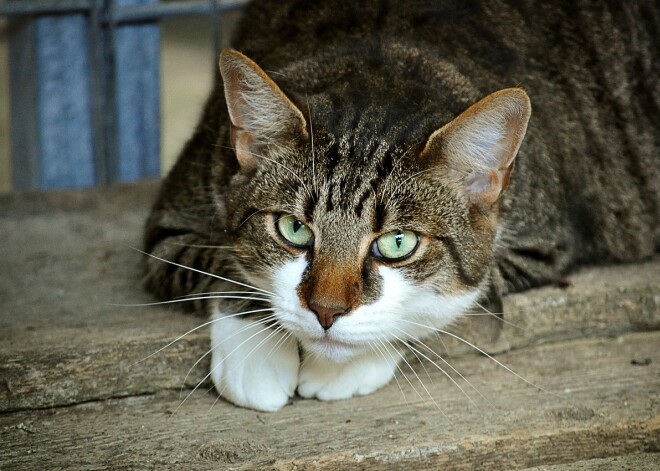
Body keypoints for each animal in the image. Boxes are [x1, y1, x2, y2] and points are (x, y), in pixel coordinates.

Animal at [142, 0, 656, 412]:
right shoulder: (173, 218)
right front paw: (258, 359)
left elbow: (451, 297)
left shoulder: (542, 242)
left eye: (397, 243)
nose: (325, 312)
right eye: (293, 229)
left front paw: (340, 369)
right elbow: (222, 265)